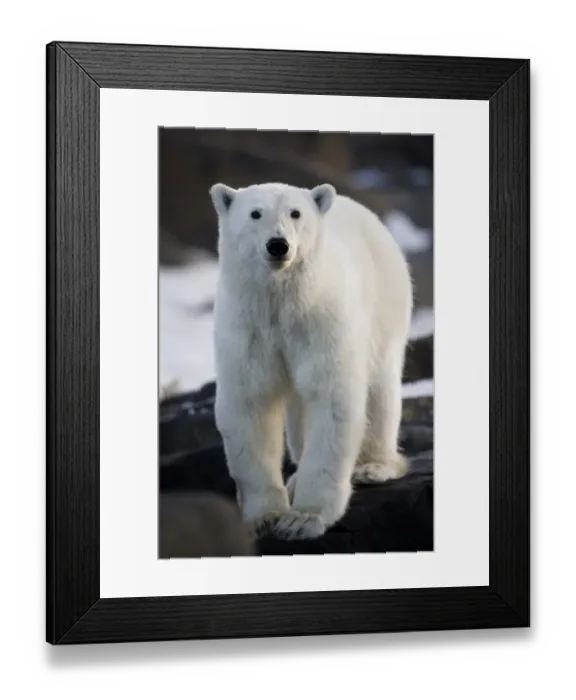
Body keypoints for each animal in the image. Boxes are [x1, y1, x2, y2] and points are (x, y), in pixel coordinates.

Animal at [209, 181, 414, 541]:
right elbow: (250, 404)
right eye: (255, 213)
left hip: (385, 308)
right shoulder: (247, 328)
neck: (282, 302)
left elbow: (331, 399)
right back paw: (294, 478)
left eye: (295, 213)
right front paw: (265, 517)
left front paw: (303, 518)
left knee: (380, 391)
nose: (278, 245)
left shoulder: (323, 321)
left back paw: (373, 466)